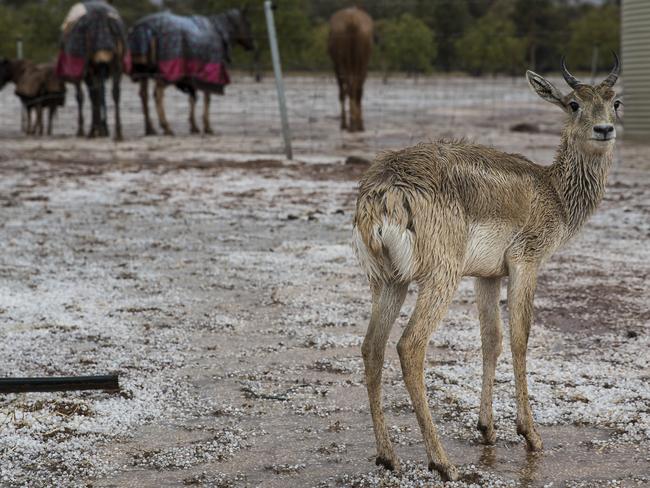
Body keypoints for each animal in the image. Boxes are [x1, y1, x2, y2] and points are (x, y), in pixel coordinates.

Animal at [57, 0, 130, 140]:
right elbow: (100, 94)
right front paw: (103, 129)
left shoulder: (83, 70)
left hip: (89, 66)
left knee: (92, 94)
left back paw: (93, 130)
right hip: (116, 64)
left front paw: (87, 130)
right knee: (114, 92)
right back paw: (117, 132)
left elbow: (85, 96)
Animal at [128, 7, 254, 136]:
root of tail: (146, 28)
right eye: (248, 23)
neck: (219, 31)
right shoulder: (208, 74)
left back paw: (150, 129)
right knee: (158, 93)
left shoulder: (191, 75)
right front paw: (207, 127)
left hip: (143, 71)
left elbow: (193, 98)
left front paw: (194, 126)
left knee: (143, 95)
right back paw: (166, 127)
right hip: (166, 73)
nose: (252, 45)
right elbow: (207, 98)